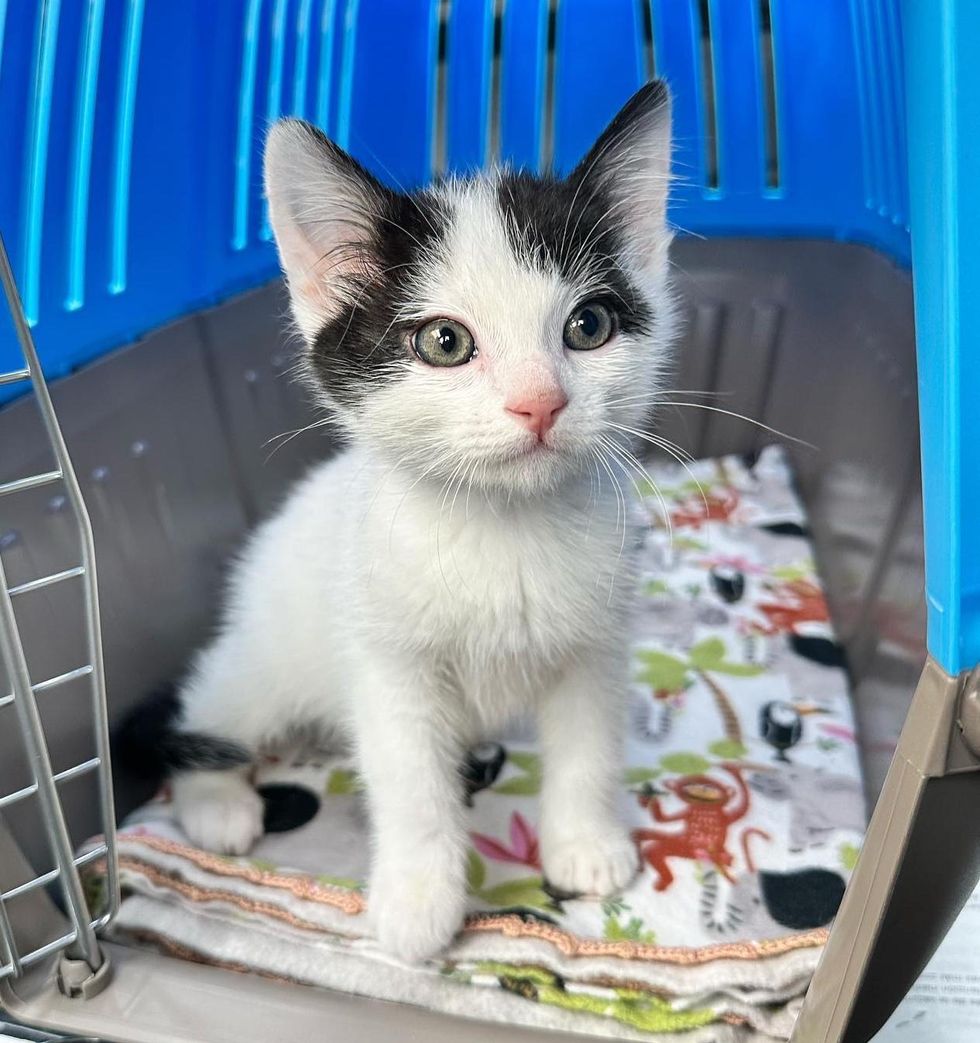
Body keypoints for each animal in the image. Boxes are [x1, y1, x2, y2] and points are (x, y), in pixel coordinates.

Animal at [120, 81, 675, 959]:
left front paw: (585, 843)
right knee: (204, 707)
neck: (500, 528)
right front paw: (419, 902)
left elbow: (589, 744)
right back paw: (218, 806)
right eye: (445, 341)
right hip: (269, 656)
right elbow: (411, 782)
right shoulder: (384, 659)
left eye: (589, 326)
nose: (541, 401)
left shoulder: (597, 641)